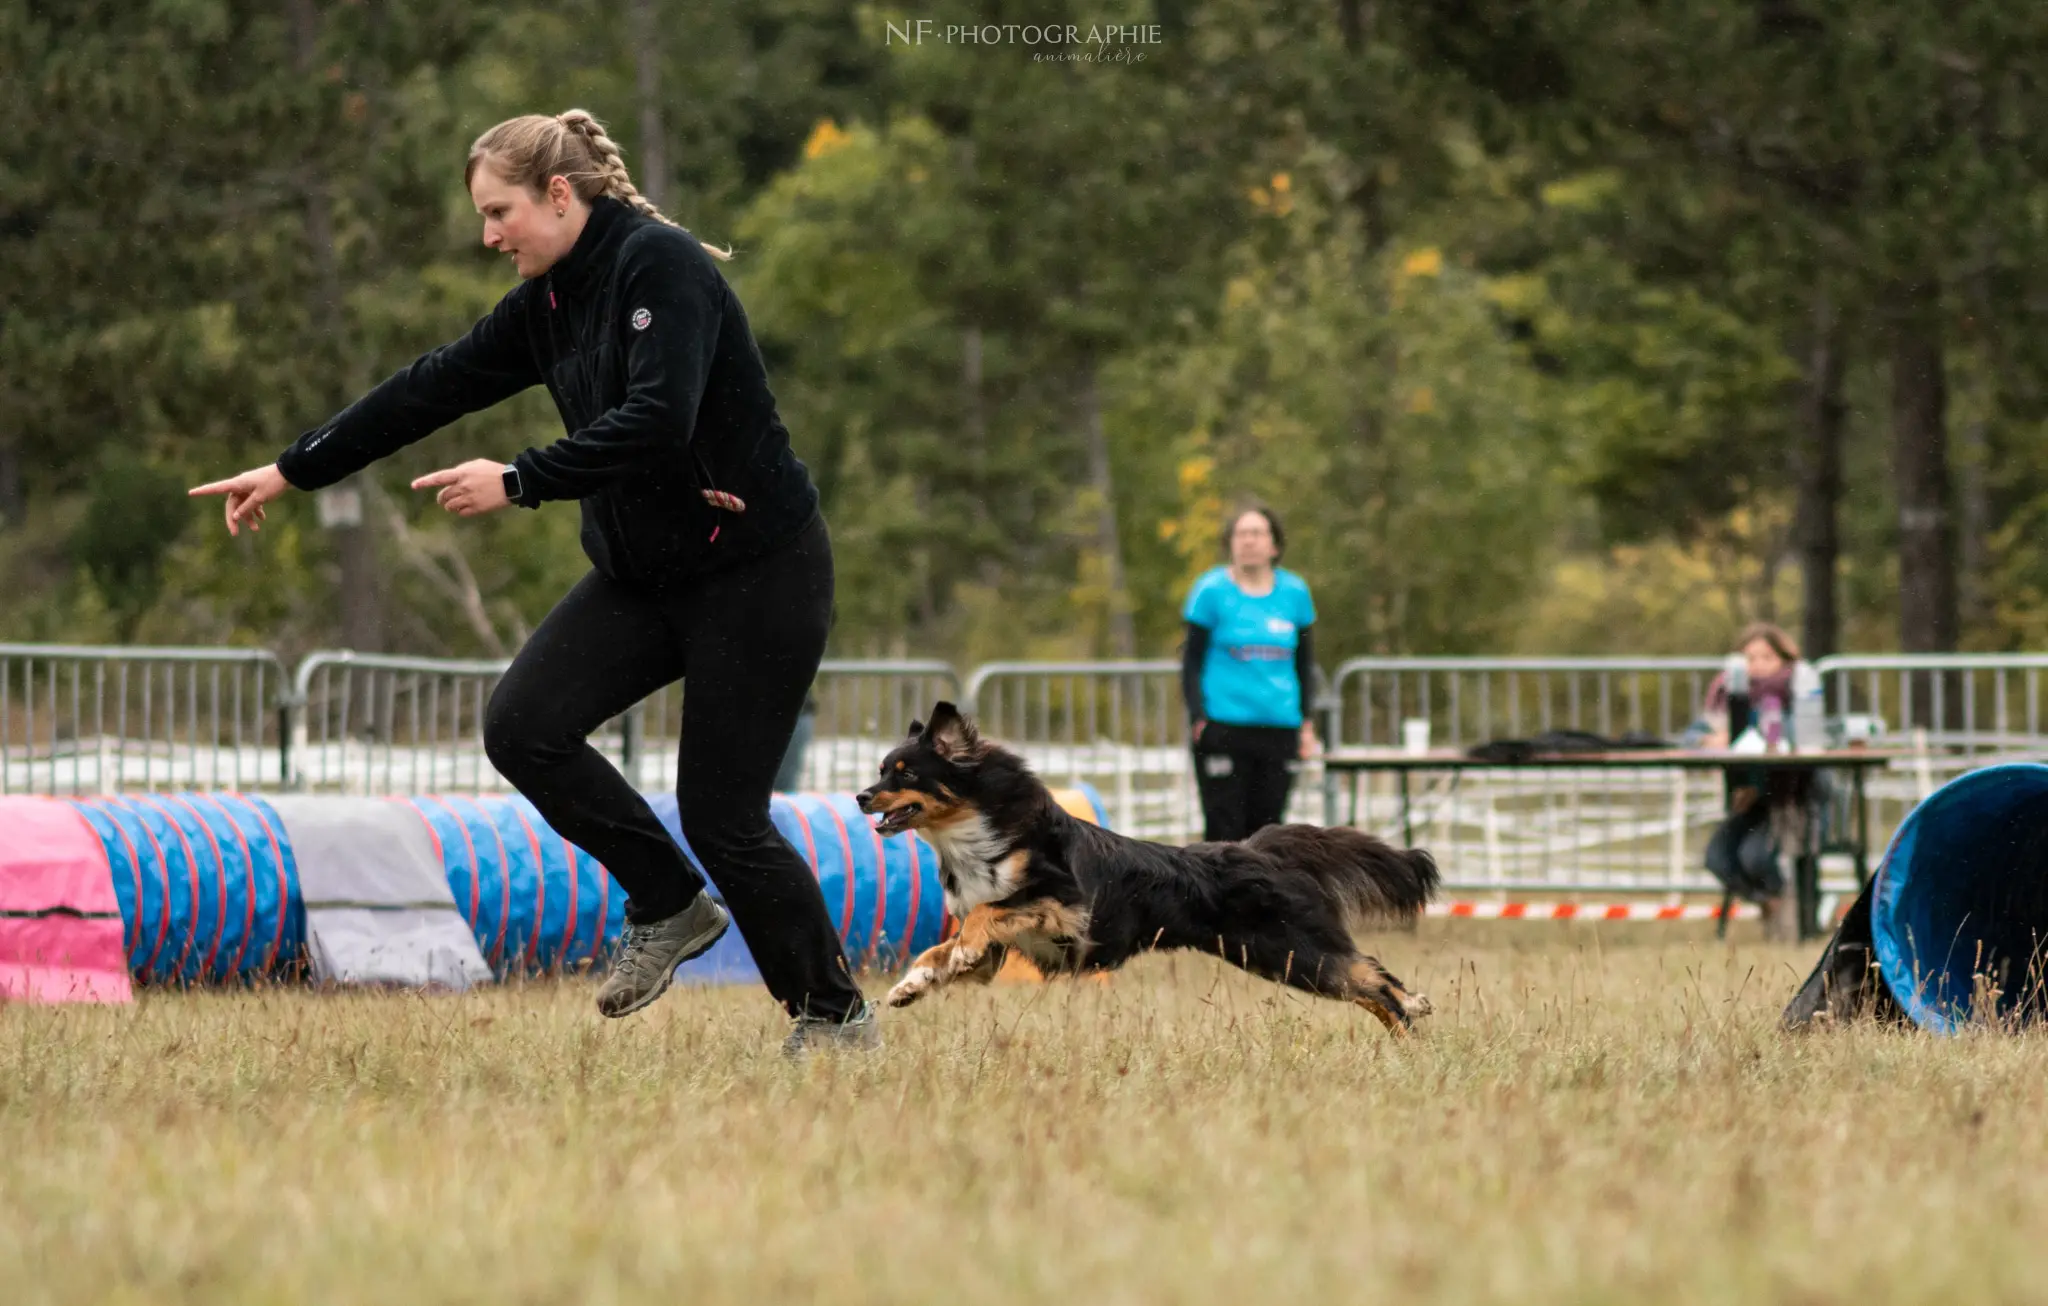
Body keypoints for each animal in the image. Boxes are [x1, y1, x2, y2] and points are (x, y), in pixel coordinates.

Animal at [847, 700, 1441, 1039]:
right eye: (881, 769)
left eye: (906, 772)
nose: (859, 797)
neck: (977, 832)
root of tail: (1261, 848)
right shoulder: (1004, 952)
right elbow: (939, 951)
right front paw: (910, 986)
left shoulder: (1065, 905)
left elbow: (984, 915)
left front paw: (946, 959)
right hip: (1282, 955)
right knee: (1368, 982)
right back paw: (1408, 1029)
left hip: (1292, 950)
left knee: (1371, 975)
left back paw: (1413, 1010)